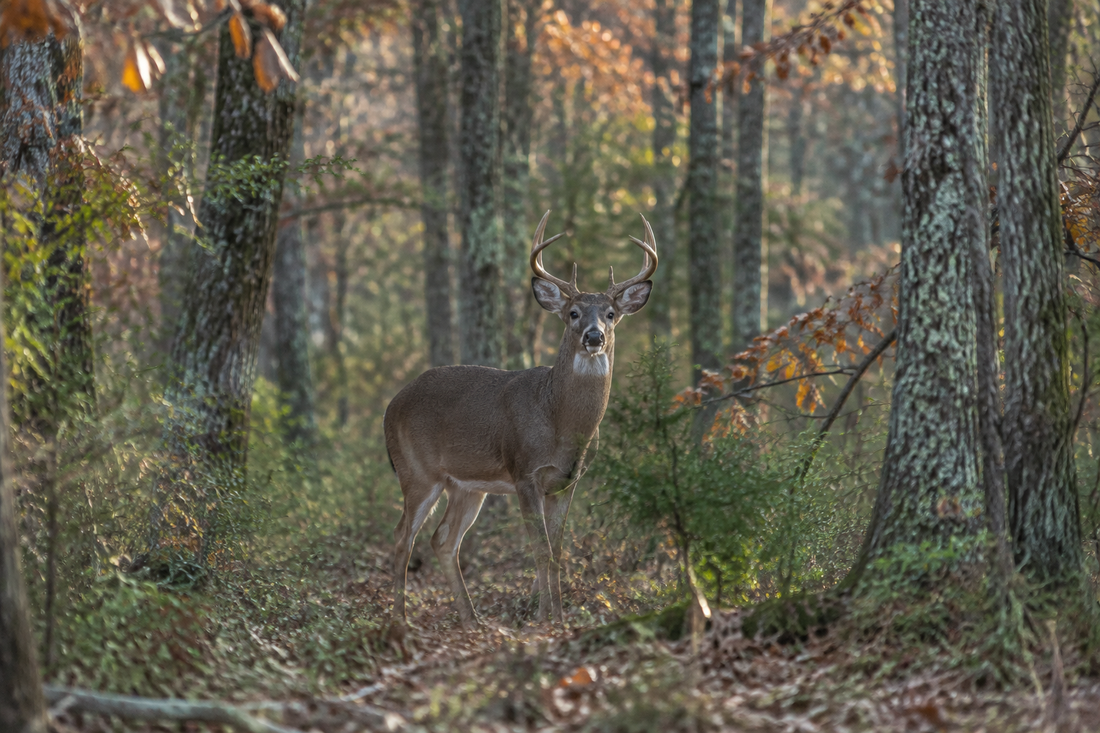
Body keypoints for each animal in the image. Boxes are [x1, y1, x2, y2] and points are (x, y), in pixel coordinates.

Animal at [384, 211, 658, 628]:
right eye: (573, 313)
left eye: (611, 314)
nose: (594, 336)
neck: (561, 424)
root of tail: (389, 408)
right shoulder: (524, 471)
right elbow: (540, 549)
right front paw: (545, 618)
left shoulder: (567, 482)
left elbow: (558, 551)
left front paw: (557, 616)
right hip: (417, 471)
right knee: (403, 536)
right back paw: (401, 619)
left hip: (466, 485)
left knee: (442, 539)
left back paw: (472, 620)